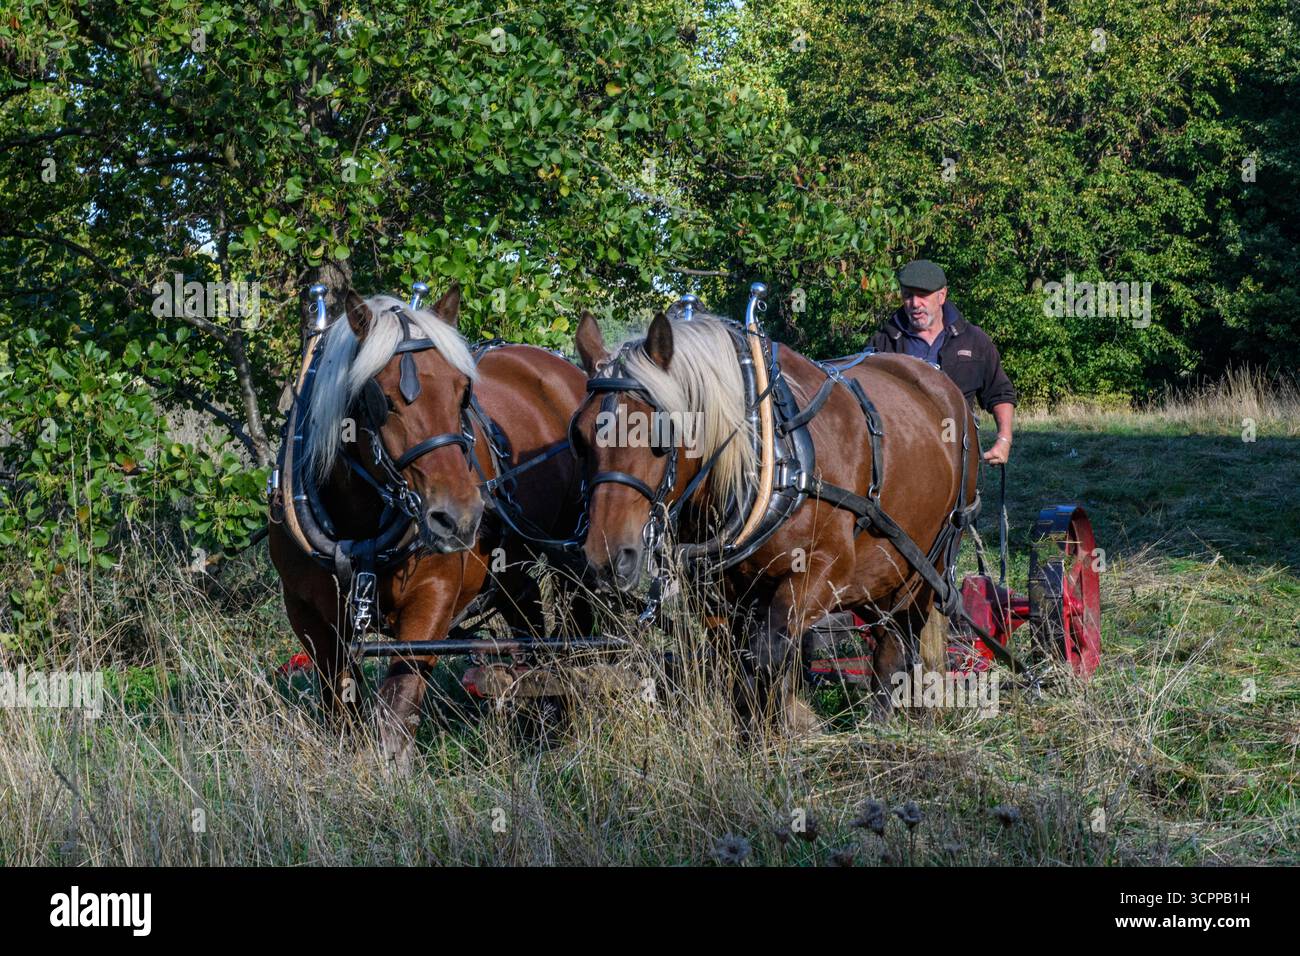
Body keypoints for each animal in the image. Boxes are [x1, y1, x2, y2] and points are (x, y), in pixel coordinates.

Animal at [268, 285, 590, 764]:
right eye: (381, 399)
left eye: (463, 393)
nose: (459, 517)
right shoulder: (306, 612)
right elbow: (339, 706)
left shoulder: (433, 597)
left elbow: (398, 706)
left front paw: (389, 770)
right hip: (509, 564)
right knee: (528, 614)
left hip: (574, 556)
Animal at [568, 305, 980, 728]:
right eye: (578, 437)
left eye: (661, 433)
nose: (606, 557)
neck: (774, 458)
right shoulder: (713, 593)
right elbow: (737, 670)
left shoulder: (823, 568)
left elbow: (766, 657)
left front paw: (789, 723)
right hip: (880, 572)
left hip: (924, 569)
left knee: (897, 640)